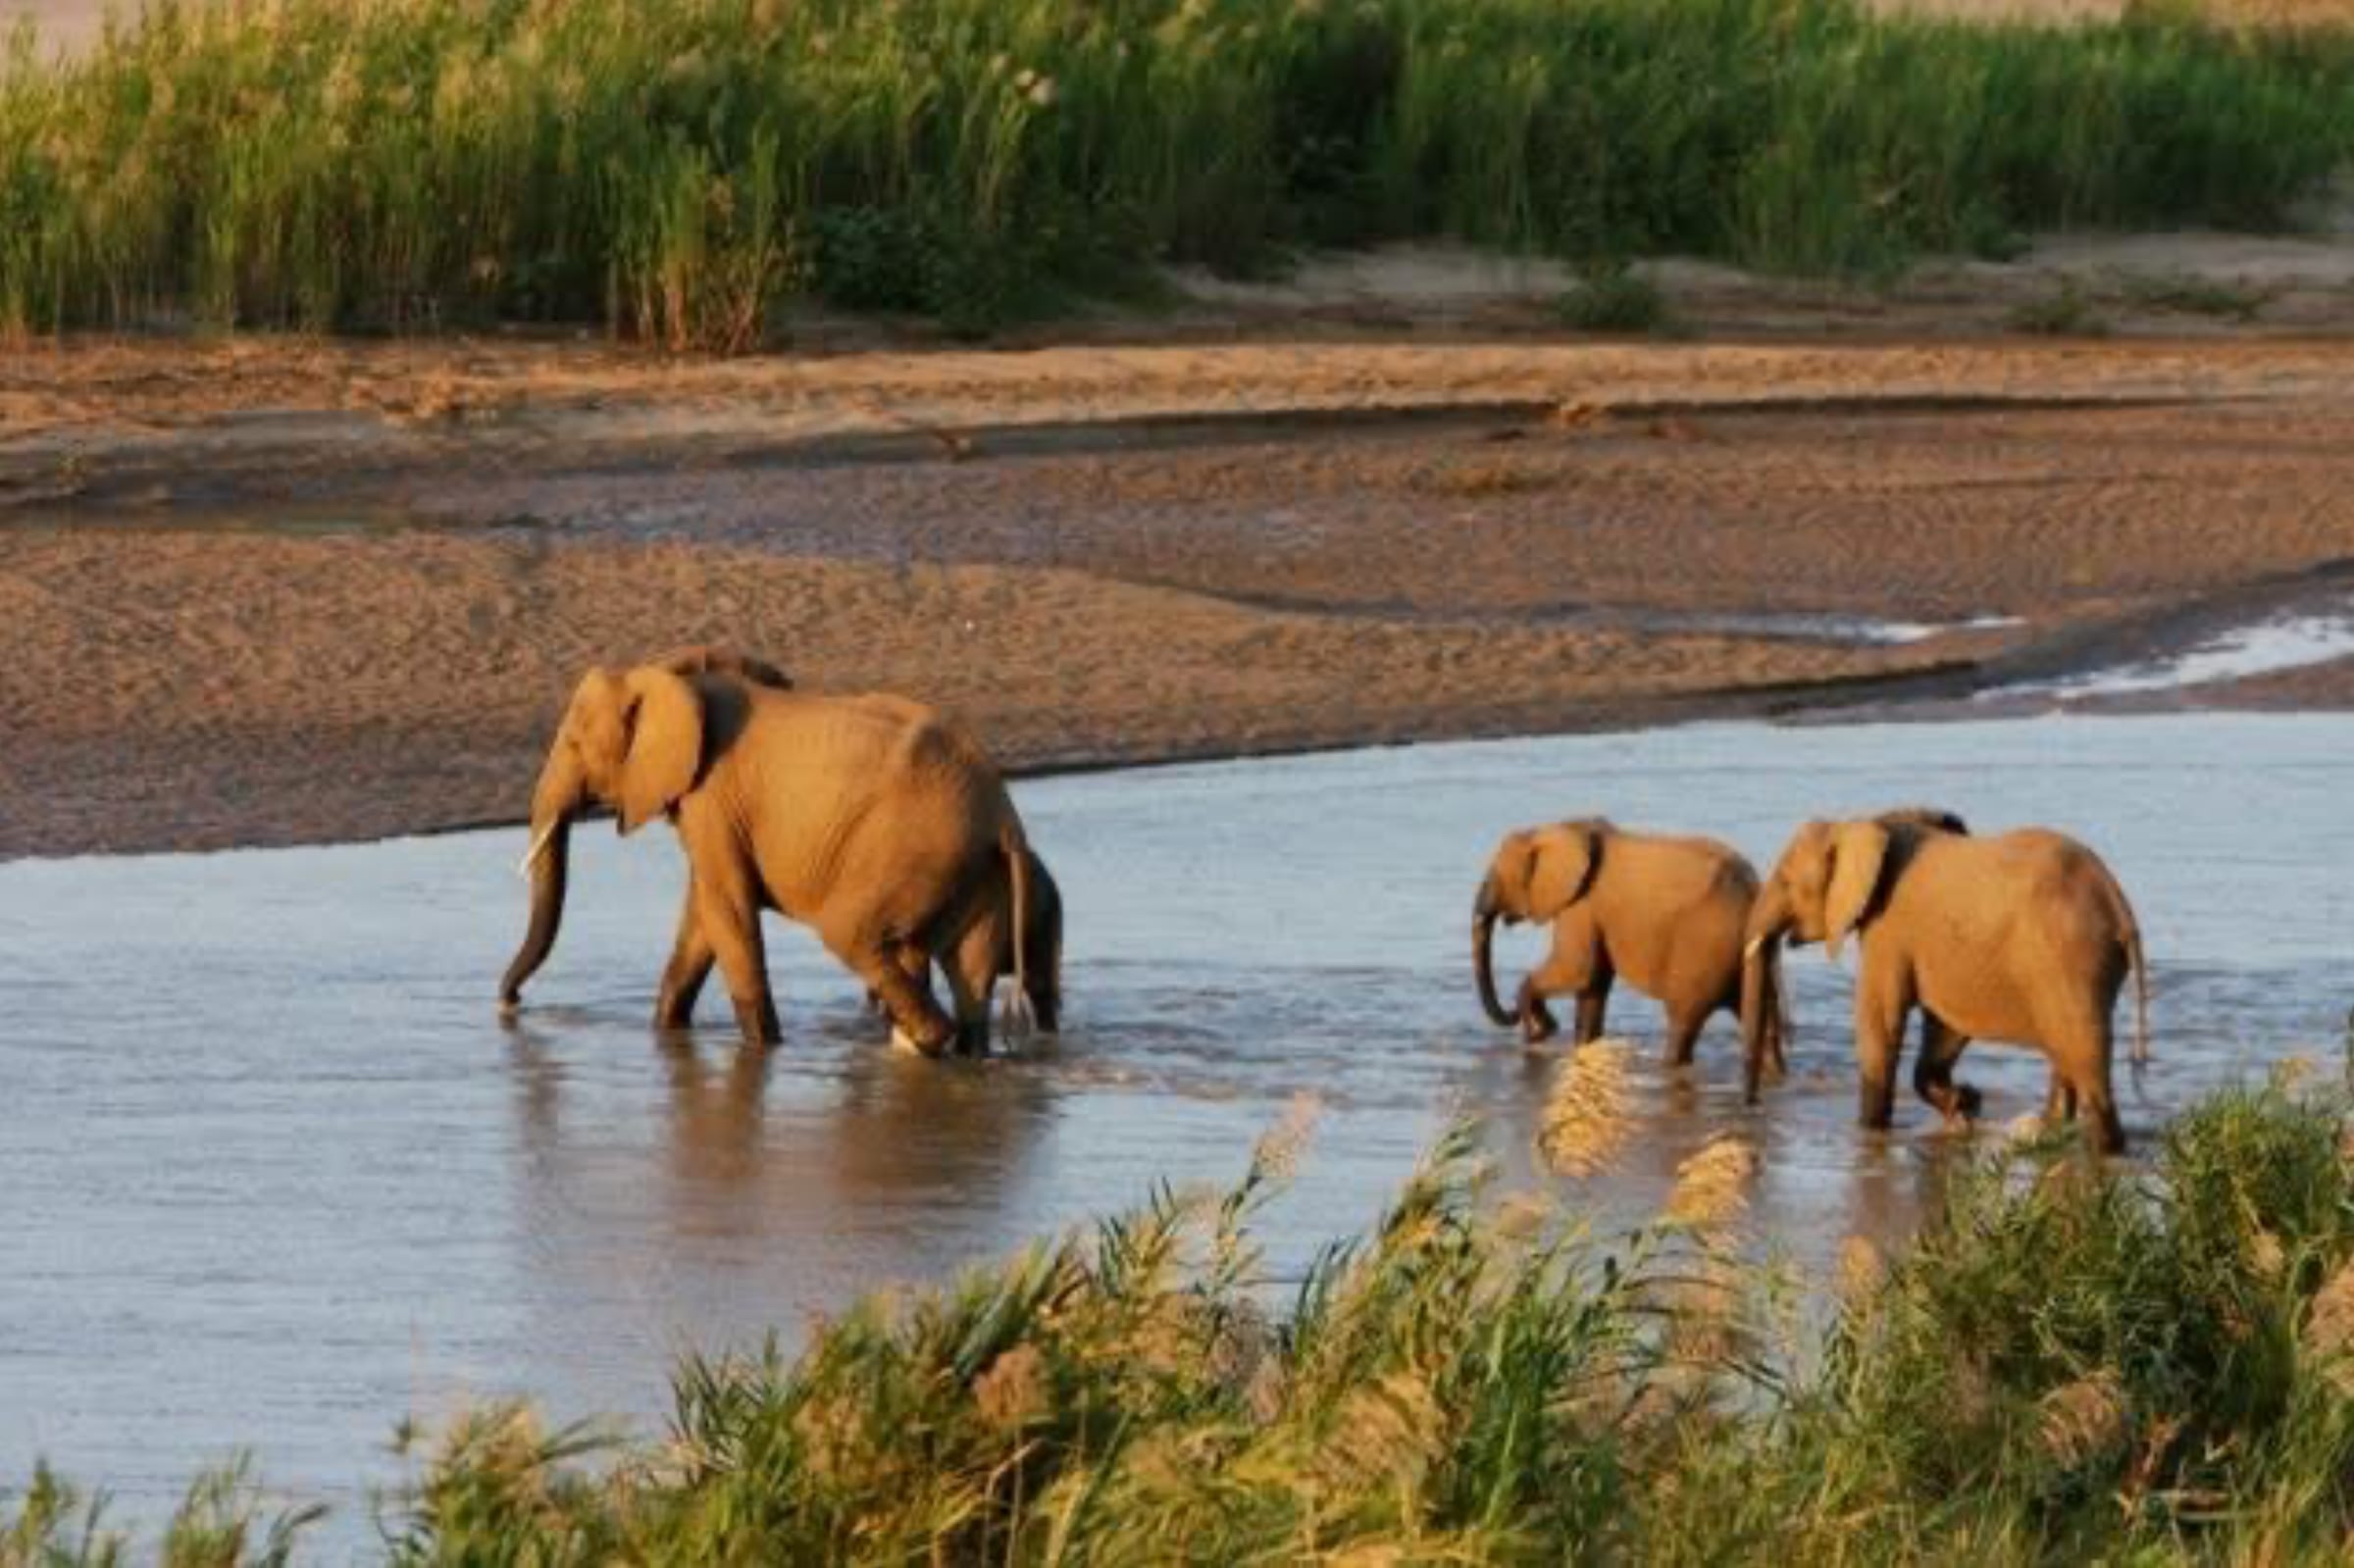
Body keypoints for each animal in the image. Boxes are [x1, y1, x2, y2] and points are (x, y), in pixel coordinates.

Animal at [497, 656, 1036, 1058]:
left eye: (573, 744)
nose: (510, 1003)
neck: (669, 677)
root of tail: (1002, 814)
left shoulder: (712, 796)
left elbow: (727, 909)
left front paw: (762, 1050)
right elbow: (704, 915)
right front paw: (666, 1034)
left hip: (913, 848)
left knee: (850, 934)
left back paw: (928, 1040)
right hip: (975, 869)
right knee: (968, 976)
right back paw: (965, 1051)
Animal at [1473, 819, 1783, 1069]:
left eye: (1494, 878)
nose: (1516, 1017)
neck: (1556, 828)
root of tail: (1751, 890)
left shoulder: (1582, 905)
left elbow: (1578, 970)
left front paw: (1541, 1028)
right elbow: (1592, 983)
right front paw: (1575, 1042)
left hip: (1706, 947)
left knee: (1683, 1019)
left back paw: (1668, 1064)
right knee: (1762, 1017)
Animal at [1739, 815, 2150, 1153]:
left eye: (1785, 881)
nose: (1753, 1108)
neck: (1858, 824)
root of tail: (2119, 906)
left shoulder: (1888, 929)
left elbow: (1881, 1020)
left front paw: (1872, 1131)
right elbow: (1945, 1027)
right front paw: (1965, 1105)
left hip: (2068, 960)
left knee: (2084, 1061)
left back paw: (2102, 1150)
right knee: (2065, 1056)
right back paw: (2050, 1131)